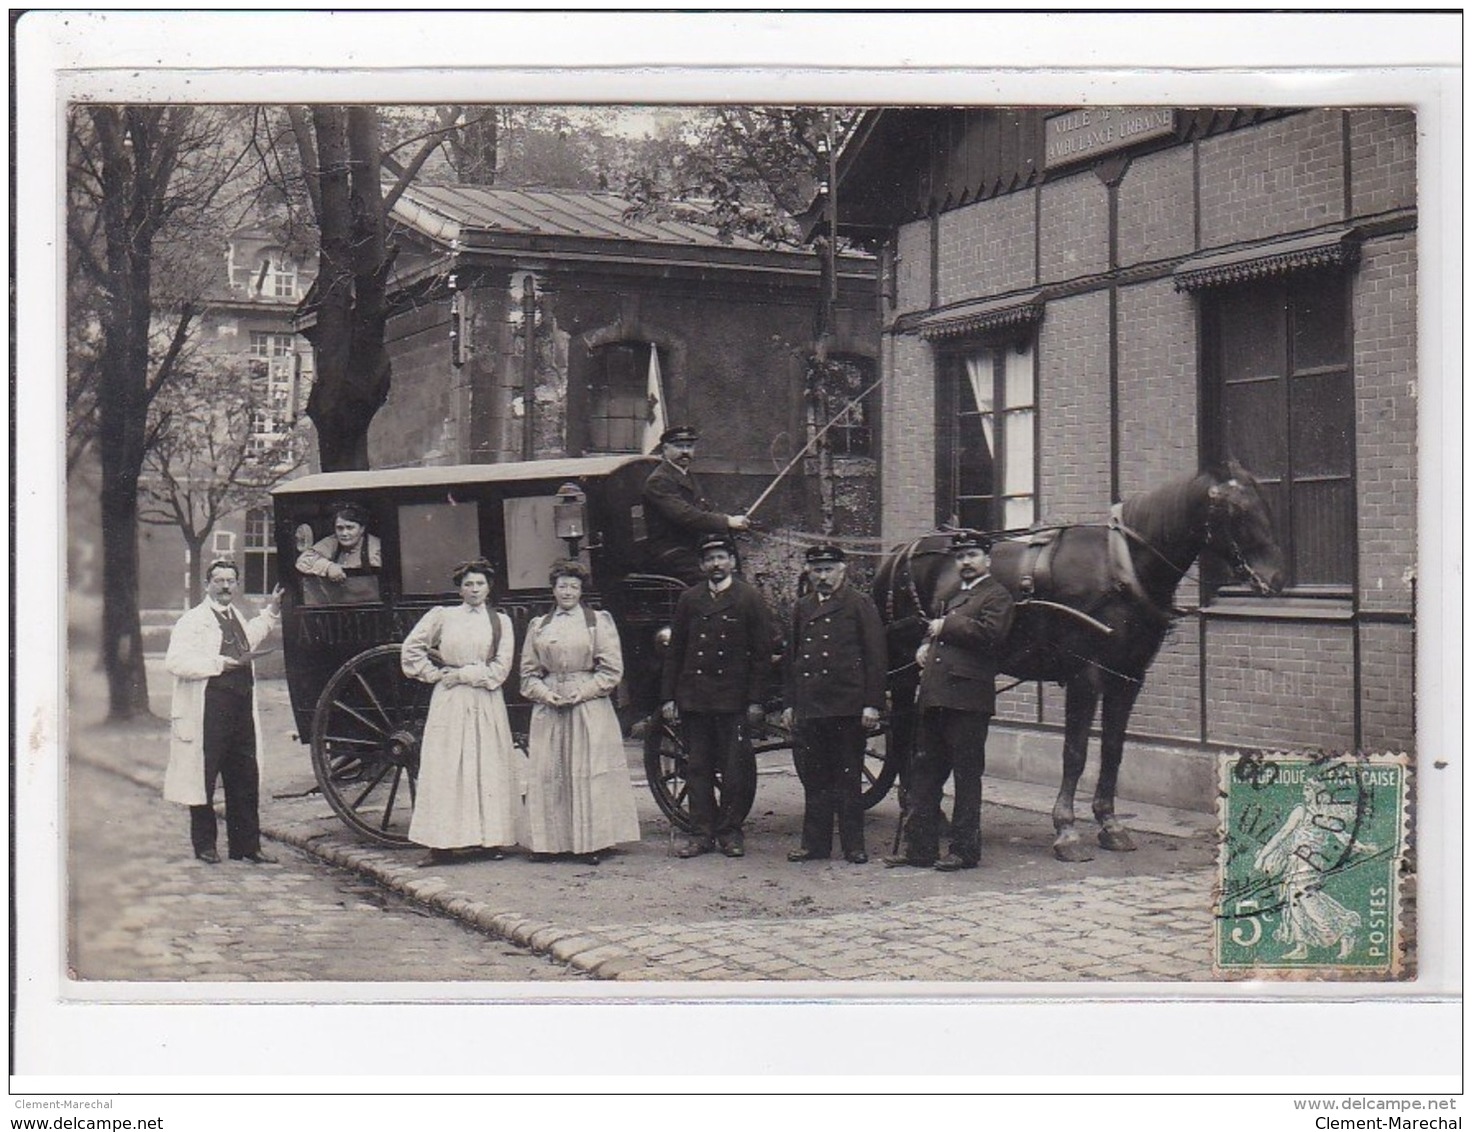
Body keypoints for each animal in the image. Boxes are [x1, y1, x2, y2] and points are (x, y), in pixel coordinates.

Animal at [877, 465, 1283, 859]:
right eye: (1236, 510)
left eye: (1266, 501)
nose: (1275, 579)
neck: (1120, 568)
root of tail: (901, 551)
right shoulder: (1085, 676)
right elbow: (1075, 753)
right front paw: (1066, 830)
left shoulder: (1128, 677)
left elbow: (1113, 749)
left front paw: (1110, 824)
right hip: (905, 670)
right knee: (904, 732)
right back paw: (916, 813)